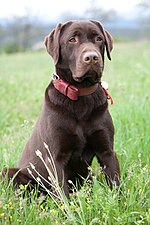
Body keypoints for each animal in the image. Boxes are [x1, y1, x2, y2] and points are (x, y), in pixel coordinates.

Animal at [2, 20, 120, 197]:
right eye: (72, 40)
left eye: (99, 38)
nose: (92, 57)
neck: (81, 96)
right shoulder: (55, 158)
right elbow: (62, 195)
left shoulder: (107, 151)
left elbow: (117, 186)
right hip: (9, 173)